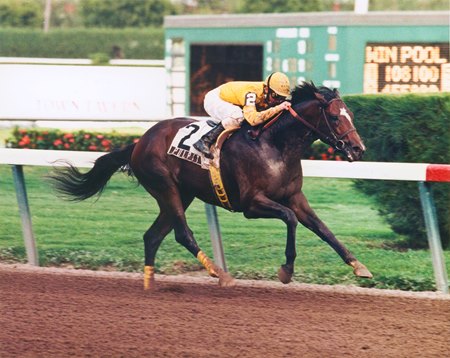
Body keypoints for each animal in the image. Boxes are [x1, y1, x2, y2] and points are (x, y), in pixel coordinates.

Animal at [50, 82, 372, 290]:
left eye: (353, 115)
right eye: (335, 117)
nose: (358, 149)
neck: (276, 146)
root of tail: (140, 141)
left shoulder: (294, 196)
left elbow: (322, 228)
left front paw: (359, 266)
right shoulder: (251, 204)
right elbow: (290, 220)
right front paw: (286, 270)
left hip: (181, 194)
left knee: (152, 236)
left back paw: (149, 283)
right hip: (166, 187)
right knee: (182, 234)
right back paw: (221, 274)